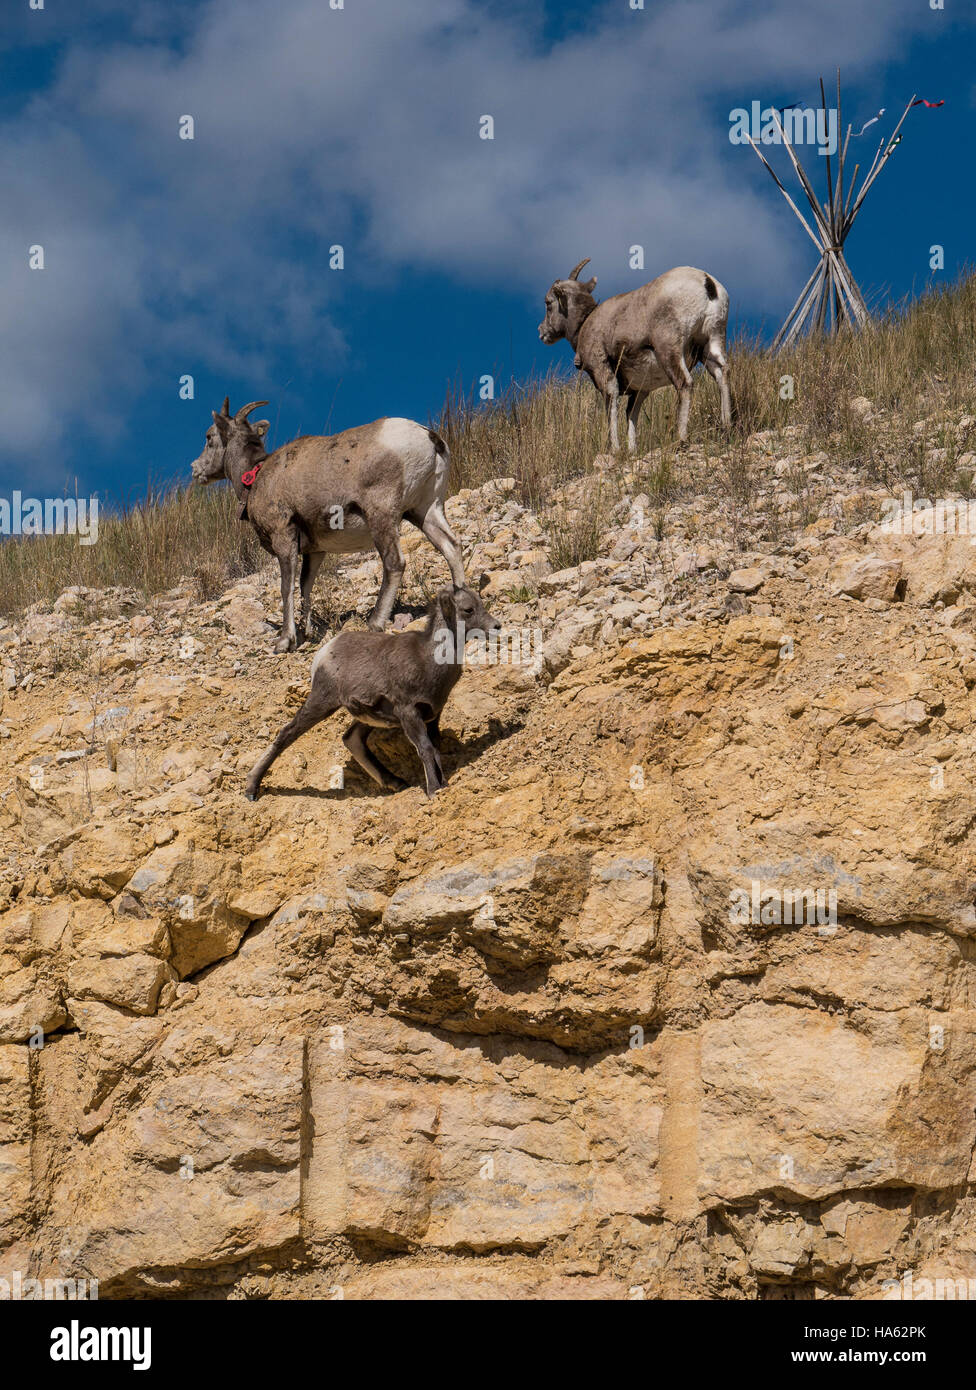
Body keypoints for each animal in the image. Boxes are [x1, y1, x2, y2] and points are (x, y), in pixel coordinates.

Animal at [193, 403, 467, 650]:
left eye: (209, 437)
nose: (196, 470)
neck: (256, 477)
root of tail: (429, 437)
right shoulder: (315, 551)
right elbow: (305, 586)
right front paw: (307, 632)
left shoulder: (284, 537)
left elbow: (286, 588)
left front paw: (285, 641)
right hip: (426, 510)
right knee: (451, 546)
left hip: (382, 516)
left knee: (394, 563)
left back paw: (375, 622)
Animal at [244, 583, 506, 806]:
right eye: (468, 609)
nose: (497, 626)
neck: (429, 659)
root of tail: (326, 651)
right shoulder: (409, 713)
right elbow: (426, 749)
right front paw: (434, 790)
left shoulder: (433, 715)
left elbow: (435, 748)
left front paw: (442, 784)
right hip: (322, 702)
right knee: (286, 735)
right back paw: (251, 790)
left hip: (368, 716)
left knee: (351, 739)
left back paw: (395, 782)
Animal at [539, 261, 728, 450]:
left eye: (548, 303)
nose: (541, 332)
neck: (584, 325)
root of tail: (706, 282)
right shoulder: (639, 390)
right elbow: (631, 415)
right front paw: (631, 450)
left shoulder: (603, 372)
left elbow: (612, 406)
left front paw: (615, 449)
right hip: (711, 343)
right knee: (722, 373)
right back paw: (727, 426)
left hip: (669, 350)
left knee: (685, 383)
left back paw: (681, 438)